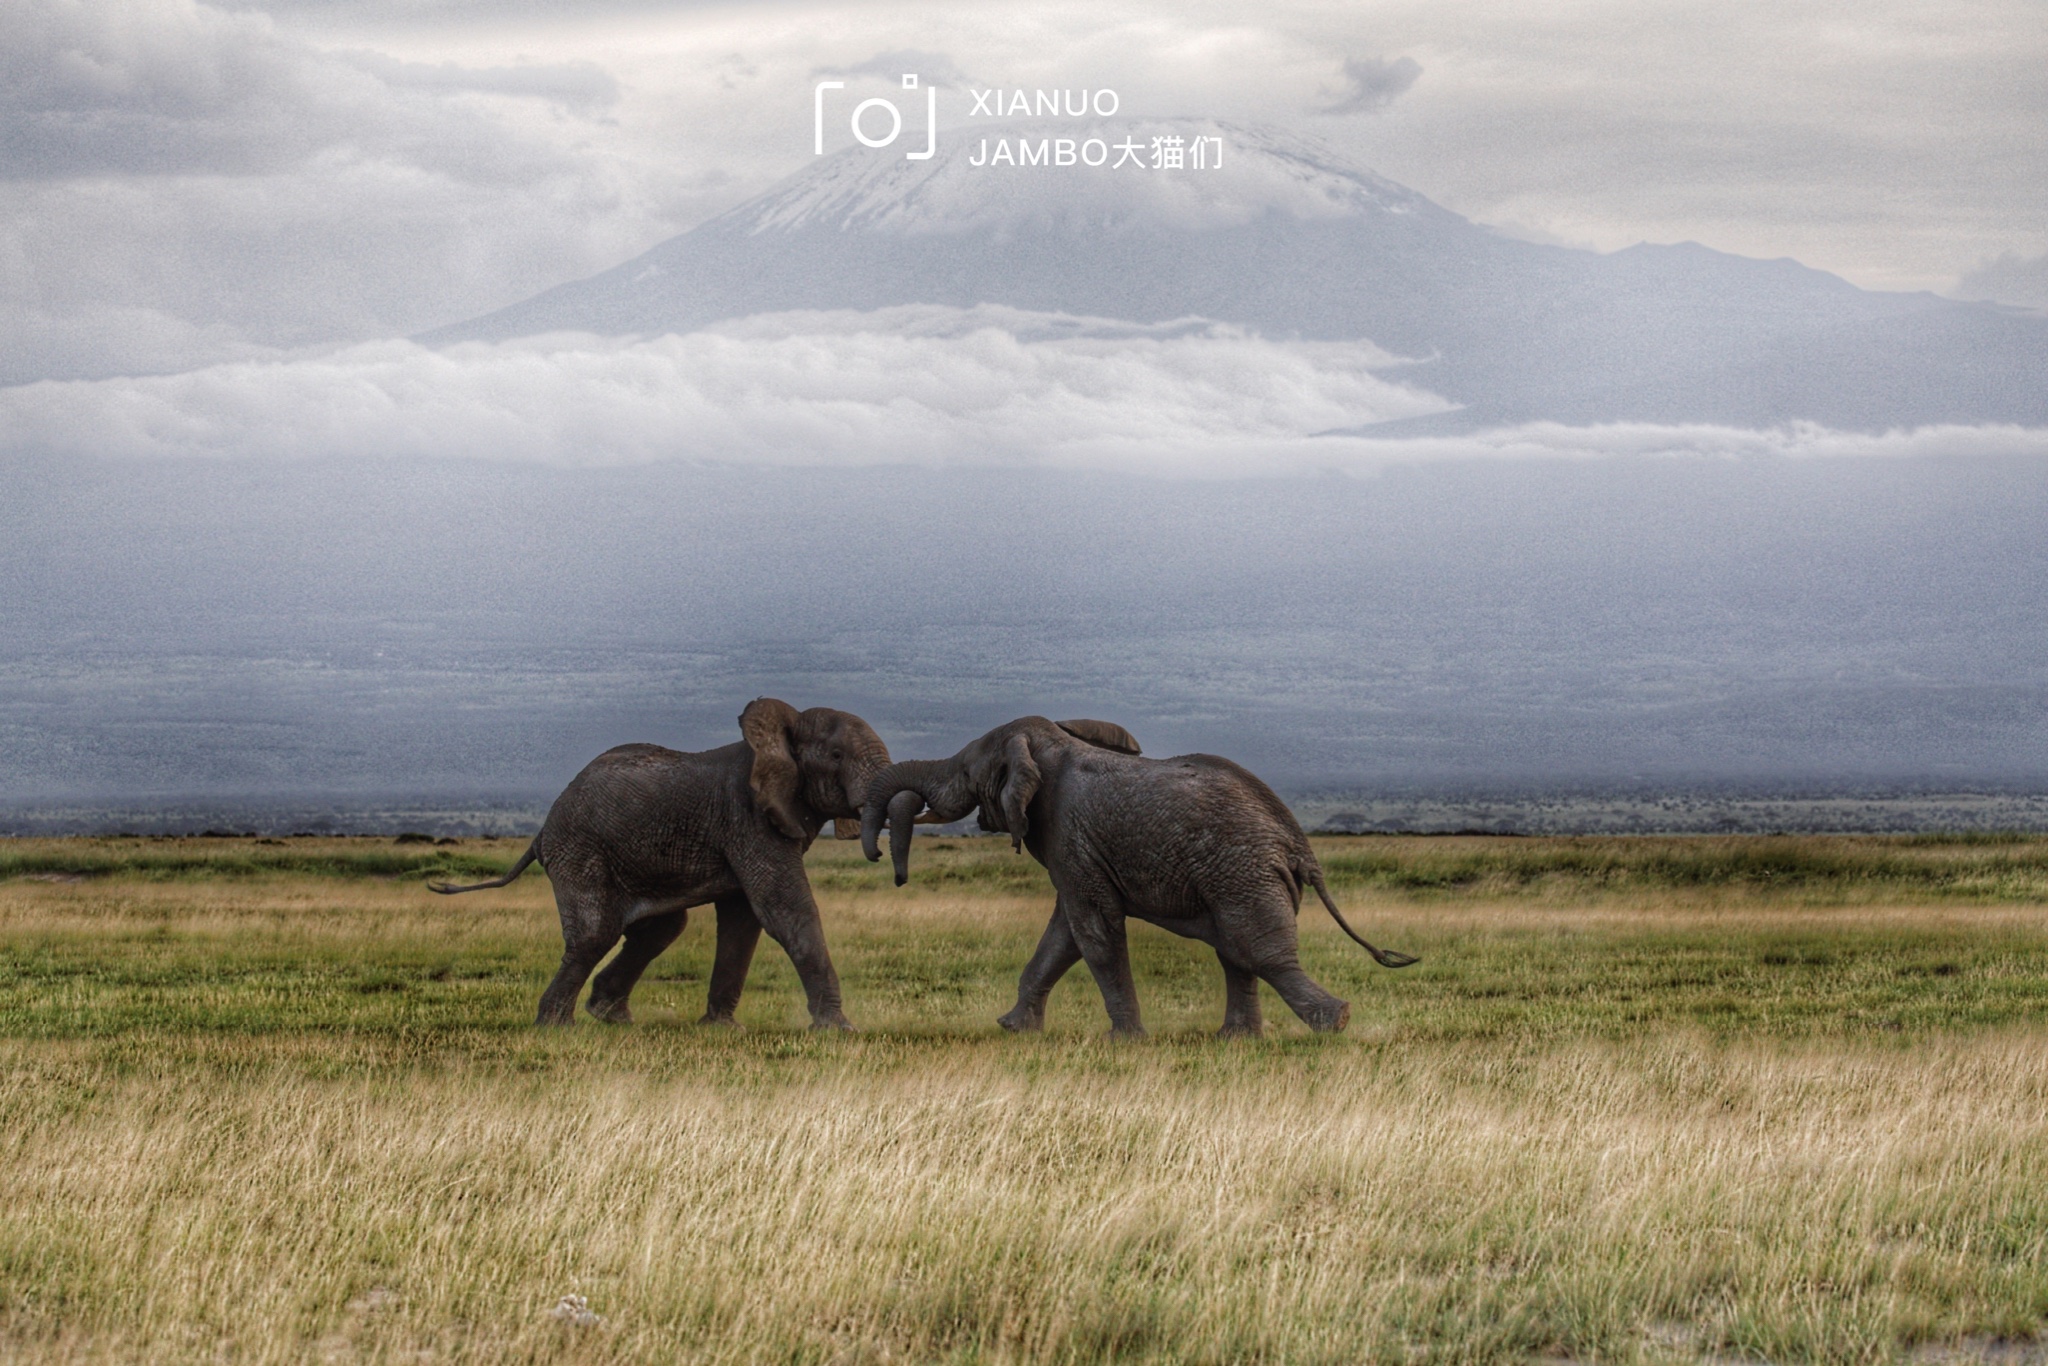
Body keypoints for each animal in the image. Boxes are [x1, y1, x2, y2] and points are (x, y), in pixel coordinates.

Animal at [432, 700, 888, 1032]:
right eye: (836, 754)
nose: (880, 854)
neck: (776, 732)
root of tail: (541, 831)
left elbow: (743, 920)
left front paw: (720, 1029)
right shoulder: (748, 818)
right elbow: (786, 911)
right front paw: (839, 1030)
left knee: (661, 928)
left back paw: (610, 1016)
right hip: (579, 851)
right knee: (595, 935)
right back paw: (556, 1028)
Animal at [856, 716, 1417, 1036]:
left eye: (969, 773)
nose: (889, 869)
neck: (1051, 745)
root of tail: (1300, 845)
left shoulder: (1068, 831)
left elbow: (1093, 931)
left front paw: (1124, 1041)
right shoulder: (1075, 848)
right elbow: (1066, 933)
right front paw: (1014, 1031)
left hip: (1241, 873)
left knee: (1259, 951)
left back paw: (1334, 1023)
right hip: (1241, 877)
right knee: (1236, 952)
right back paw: (1238, 1040)